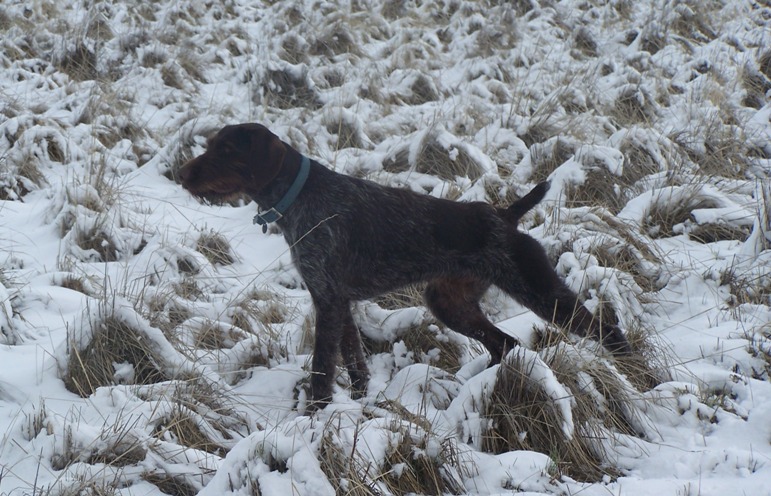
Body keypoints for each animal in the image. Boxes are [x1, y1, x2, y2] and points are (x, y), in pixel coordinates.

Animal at [178, 124, 632, 410]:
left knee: (605, 329)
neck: (300, 197)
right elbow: (355, 362)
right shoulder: (337, 300)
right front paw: (357, 406)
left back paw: (633, 376)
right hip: (449, 303)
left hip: (539, 289)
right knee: (505, 344)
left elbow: (323, 368)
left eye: (227, 151)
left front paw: (314, 417)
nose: (181, 174)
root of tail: (505, 215)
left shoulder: (327, 300)